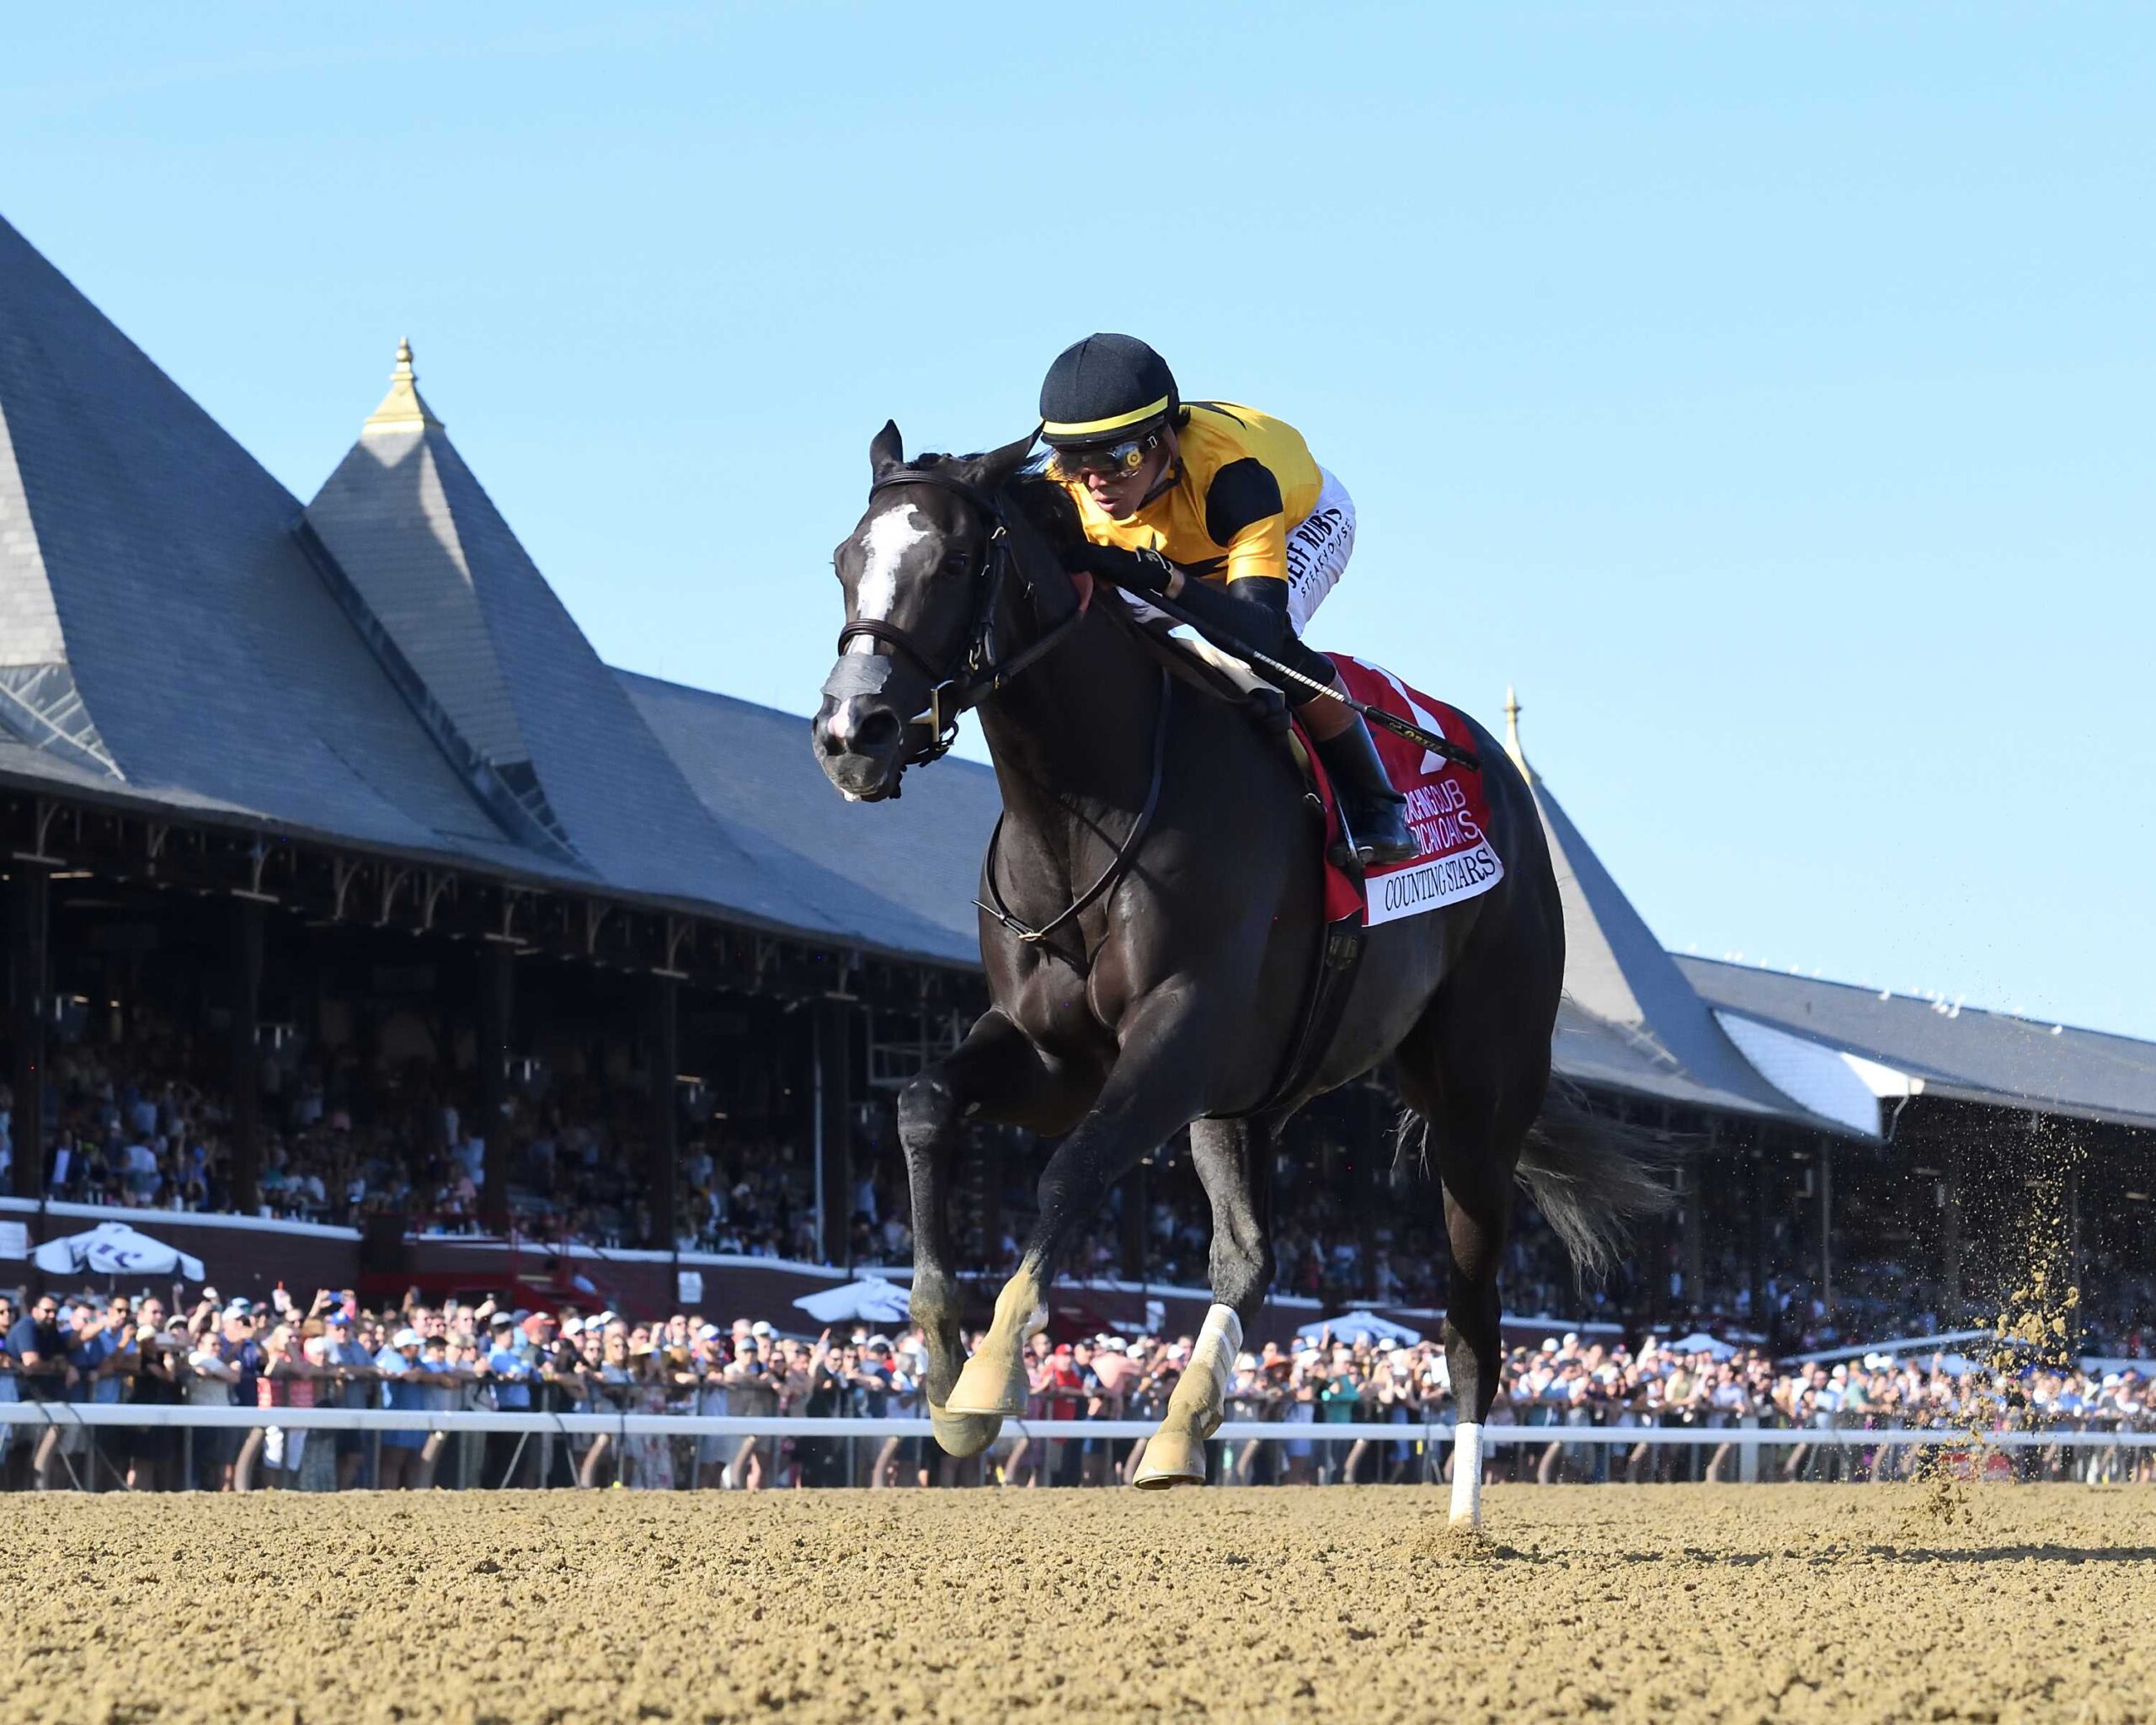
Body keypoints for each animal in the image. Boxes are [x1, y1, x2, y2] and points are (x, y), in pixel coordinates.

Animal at [811, 423, 1666, 1523]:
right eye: (845, 559)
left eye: (956, 560)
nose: (851, 734)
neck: (1084, 802)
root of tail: (1507, 789)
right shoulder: (1053, 1055)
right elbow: (922, 1103)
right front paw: (939, 1358)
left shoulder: (1176, 1033)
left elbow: (1070, 1169)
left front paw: (990, 1377)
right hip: (1249, 1096)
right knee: (1251, 1258)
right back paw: (1180, 1428)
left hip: (1478, 1101)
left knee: (1472, 1314)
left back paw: (1464, 1517)